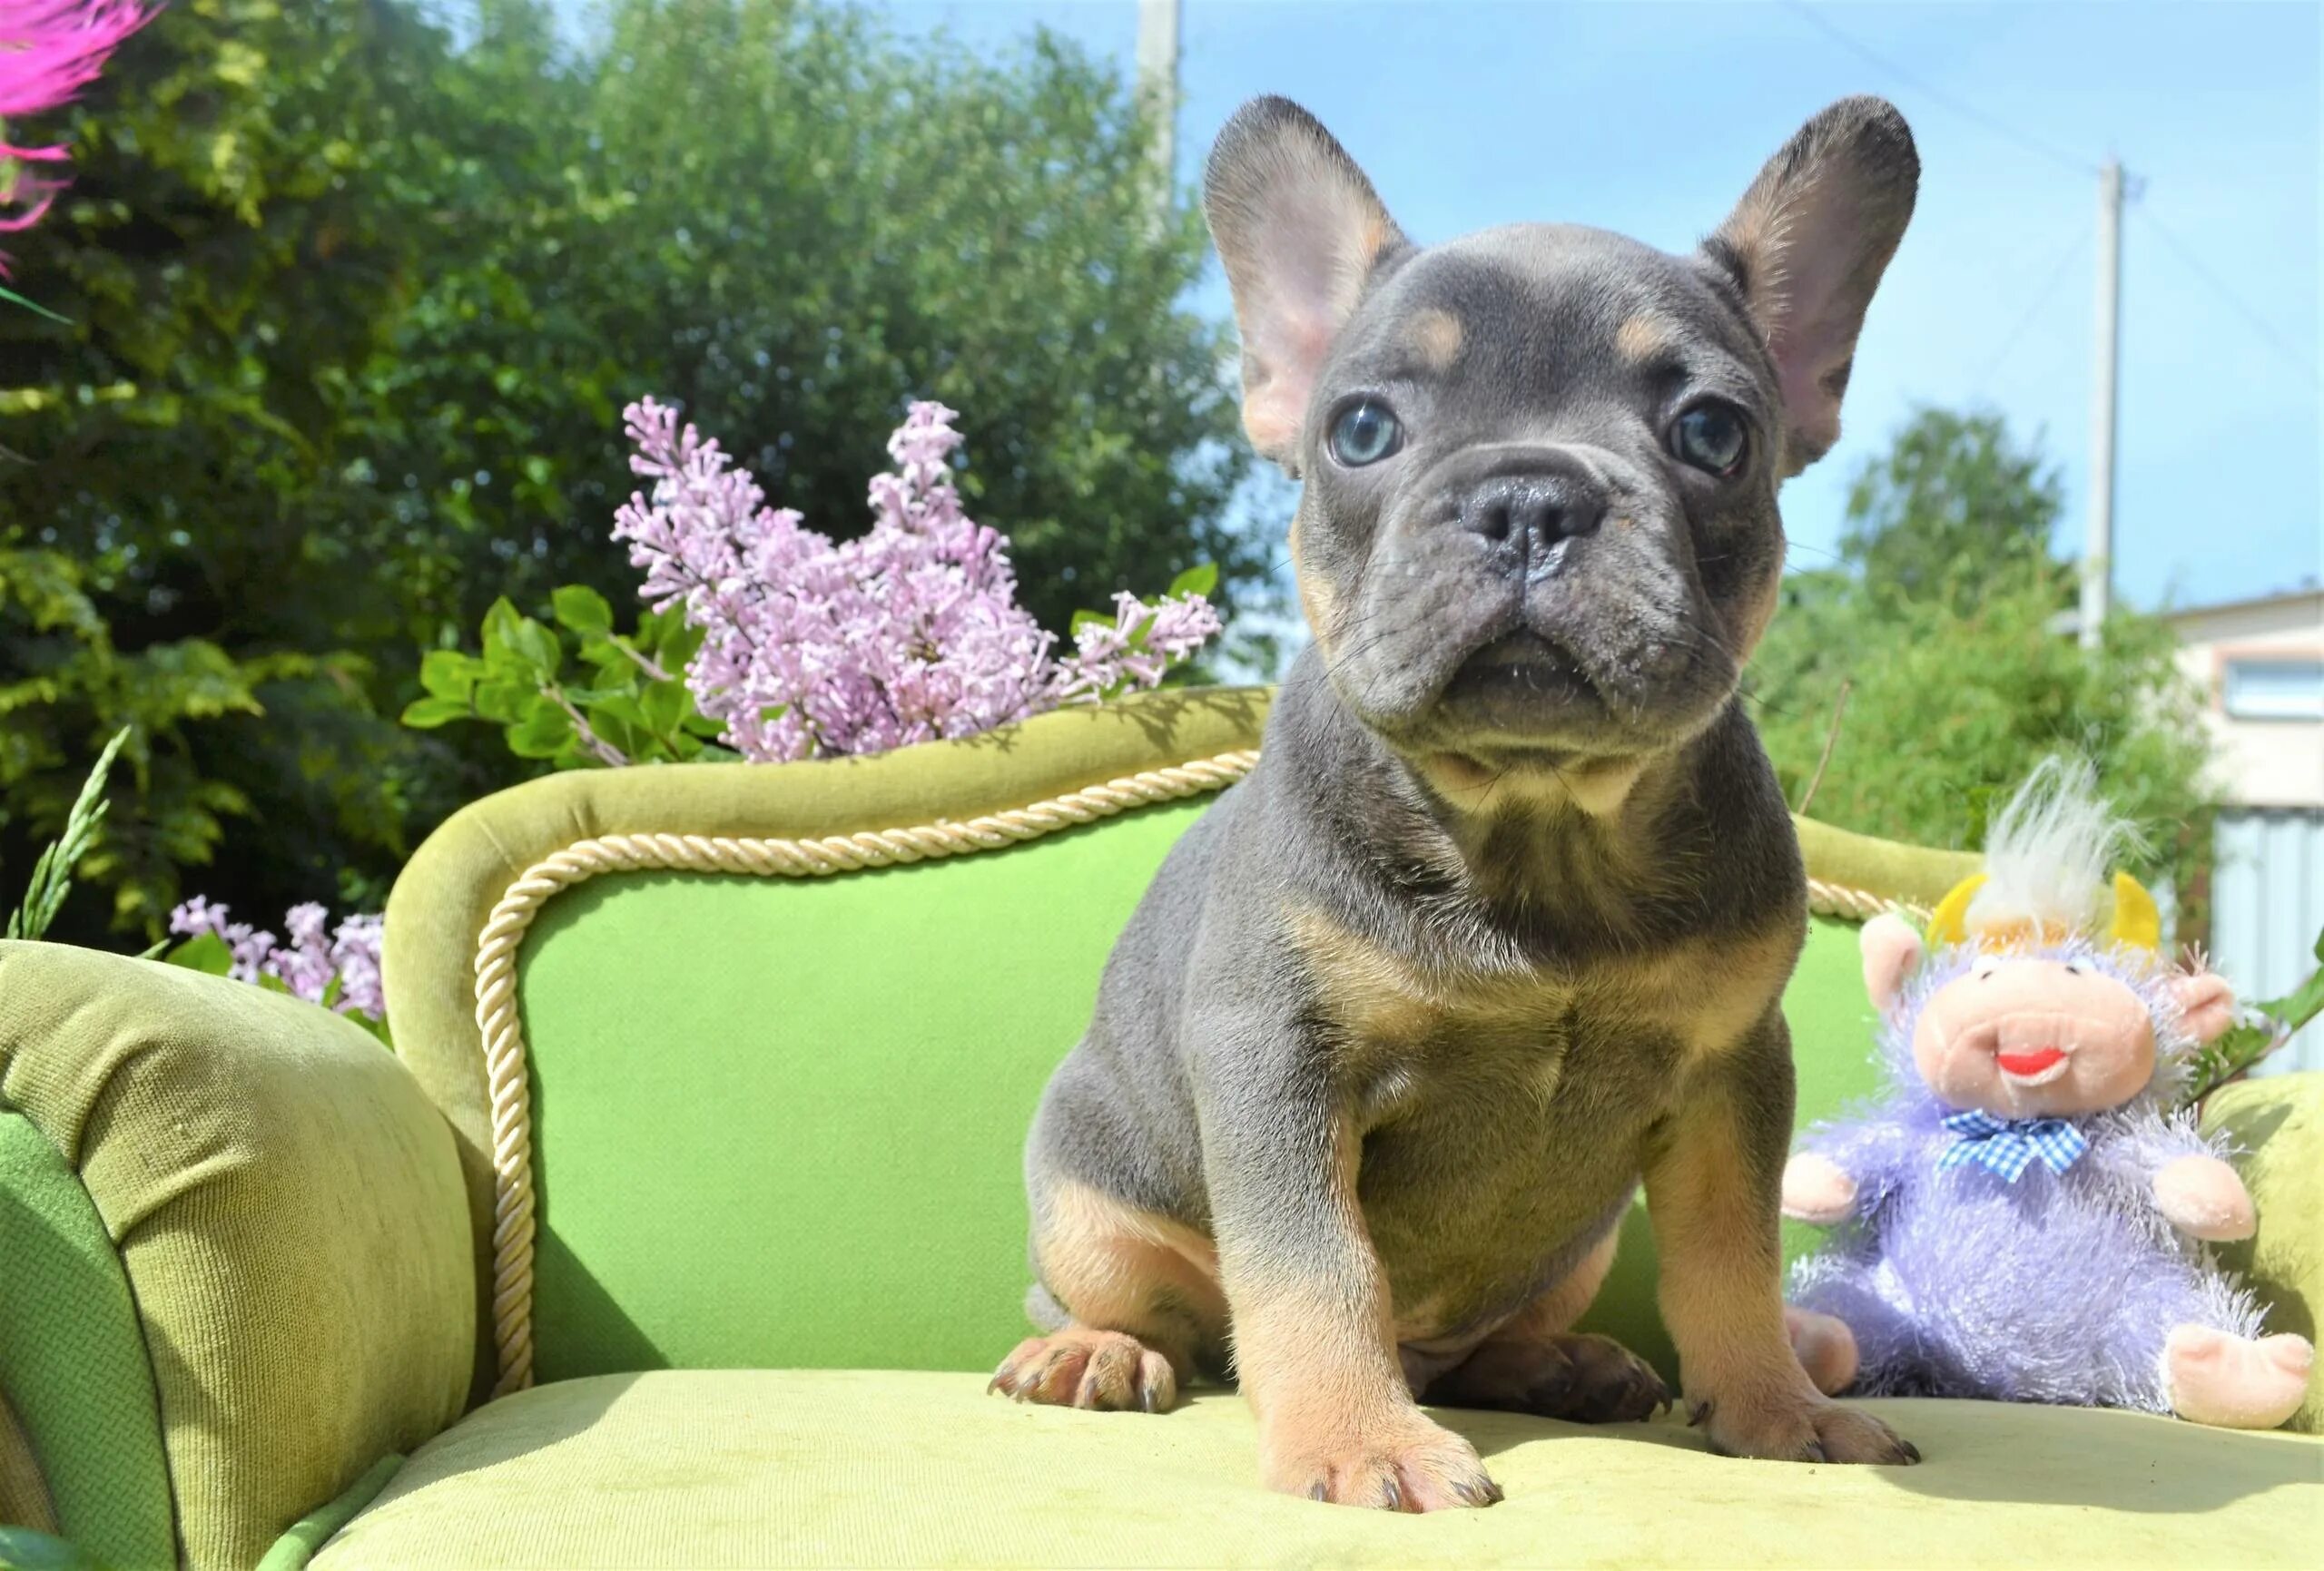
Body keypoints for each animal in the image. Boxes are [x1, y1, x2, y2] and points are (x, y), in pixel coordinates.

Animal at [990, 88, 1915, 1506]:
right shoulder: (1278, 1057)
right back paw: (1092, 1352)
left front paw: (1776, 1405)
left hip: (1578, 1247)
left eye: (1713, 433)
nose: (1530, 495)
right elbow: (1314, 1266)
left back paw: (1558, 1364)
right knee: (1148, 1311)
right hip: (1092, 1205)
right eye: (1362, 429)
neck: (1541, 834)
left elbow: (1733, 1258)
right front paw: (1357, 1440)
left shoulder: (1729, 1076)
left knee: (1493, 1333)